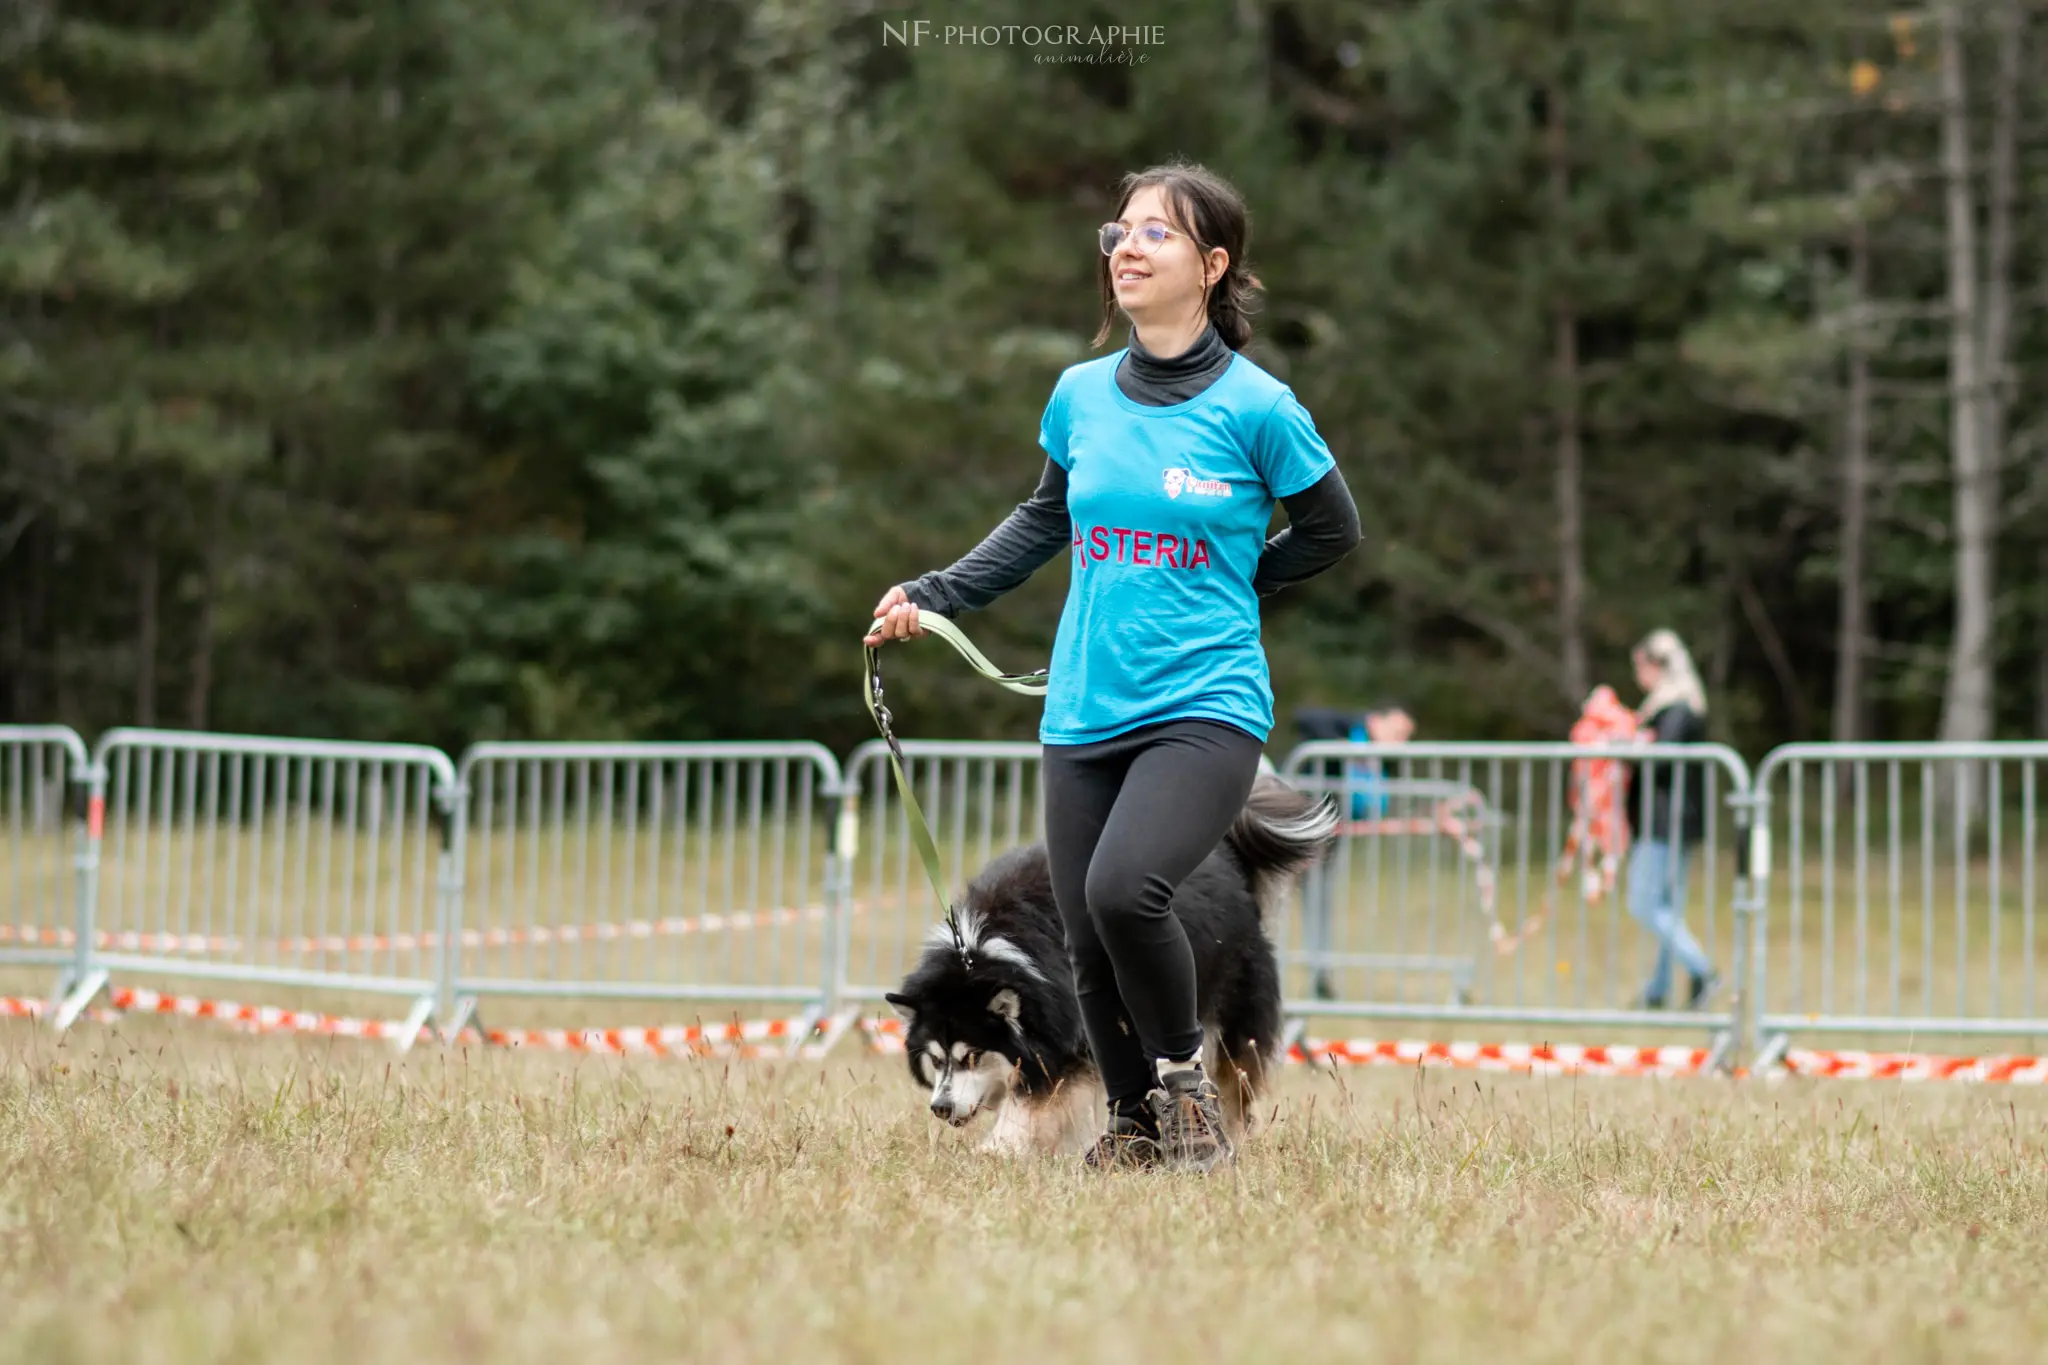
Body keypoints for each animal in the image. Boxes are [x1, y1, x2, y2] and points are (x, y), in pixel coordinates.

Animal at [884, 773, 1335, 1162]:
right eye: (936, 1059)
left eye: (974, 1056)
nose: (940, 1108)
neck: (984, 950)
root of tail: (1225, 855)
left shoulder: (1062, 1036)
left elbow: (1034, 1101)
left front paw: (999, 1149)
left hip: (1225, 1013)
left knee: (1229, 1082)